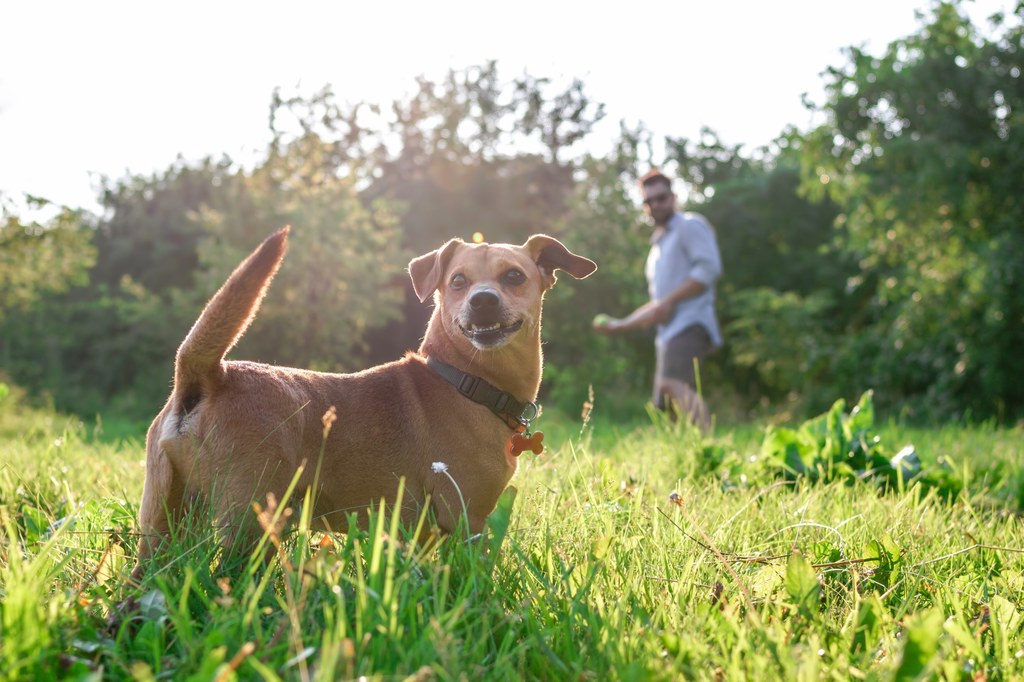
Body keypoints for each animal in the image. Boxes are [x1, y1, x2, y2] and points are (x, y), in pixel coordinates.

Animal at [133, 225, 598, 569]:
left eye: (514, 276)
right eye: (458, 281)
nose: (482, 300)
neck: (465, 380)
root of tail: (210, 376)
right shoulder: (467, 519)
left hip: (162, 521)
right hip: (252, 519)